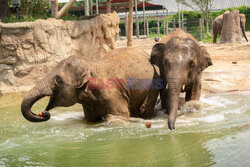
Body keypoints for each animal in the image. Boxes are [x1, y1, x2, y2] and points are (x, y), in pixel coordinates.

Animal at [21, 47, 162, 123]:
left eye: (58, 80)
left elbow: (119, 117)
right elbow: (90, 120)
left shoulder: (113, 95)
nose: (44, 113)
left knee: (144, 109)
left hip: (156, 79)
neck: (90, 65)